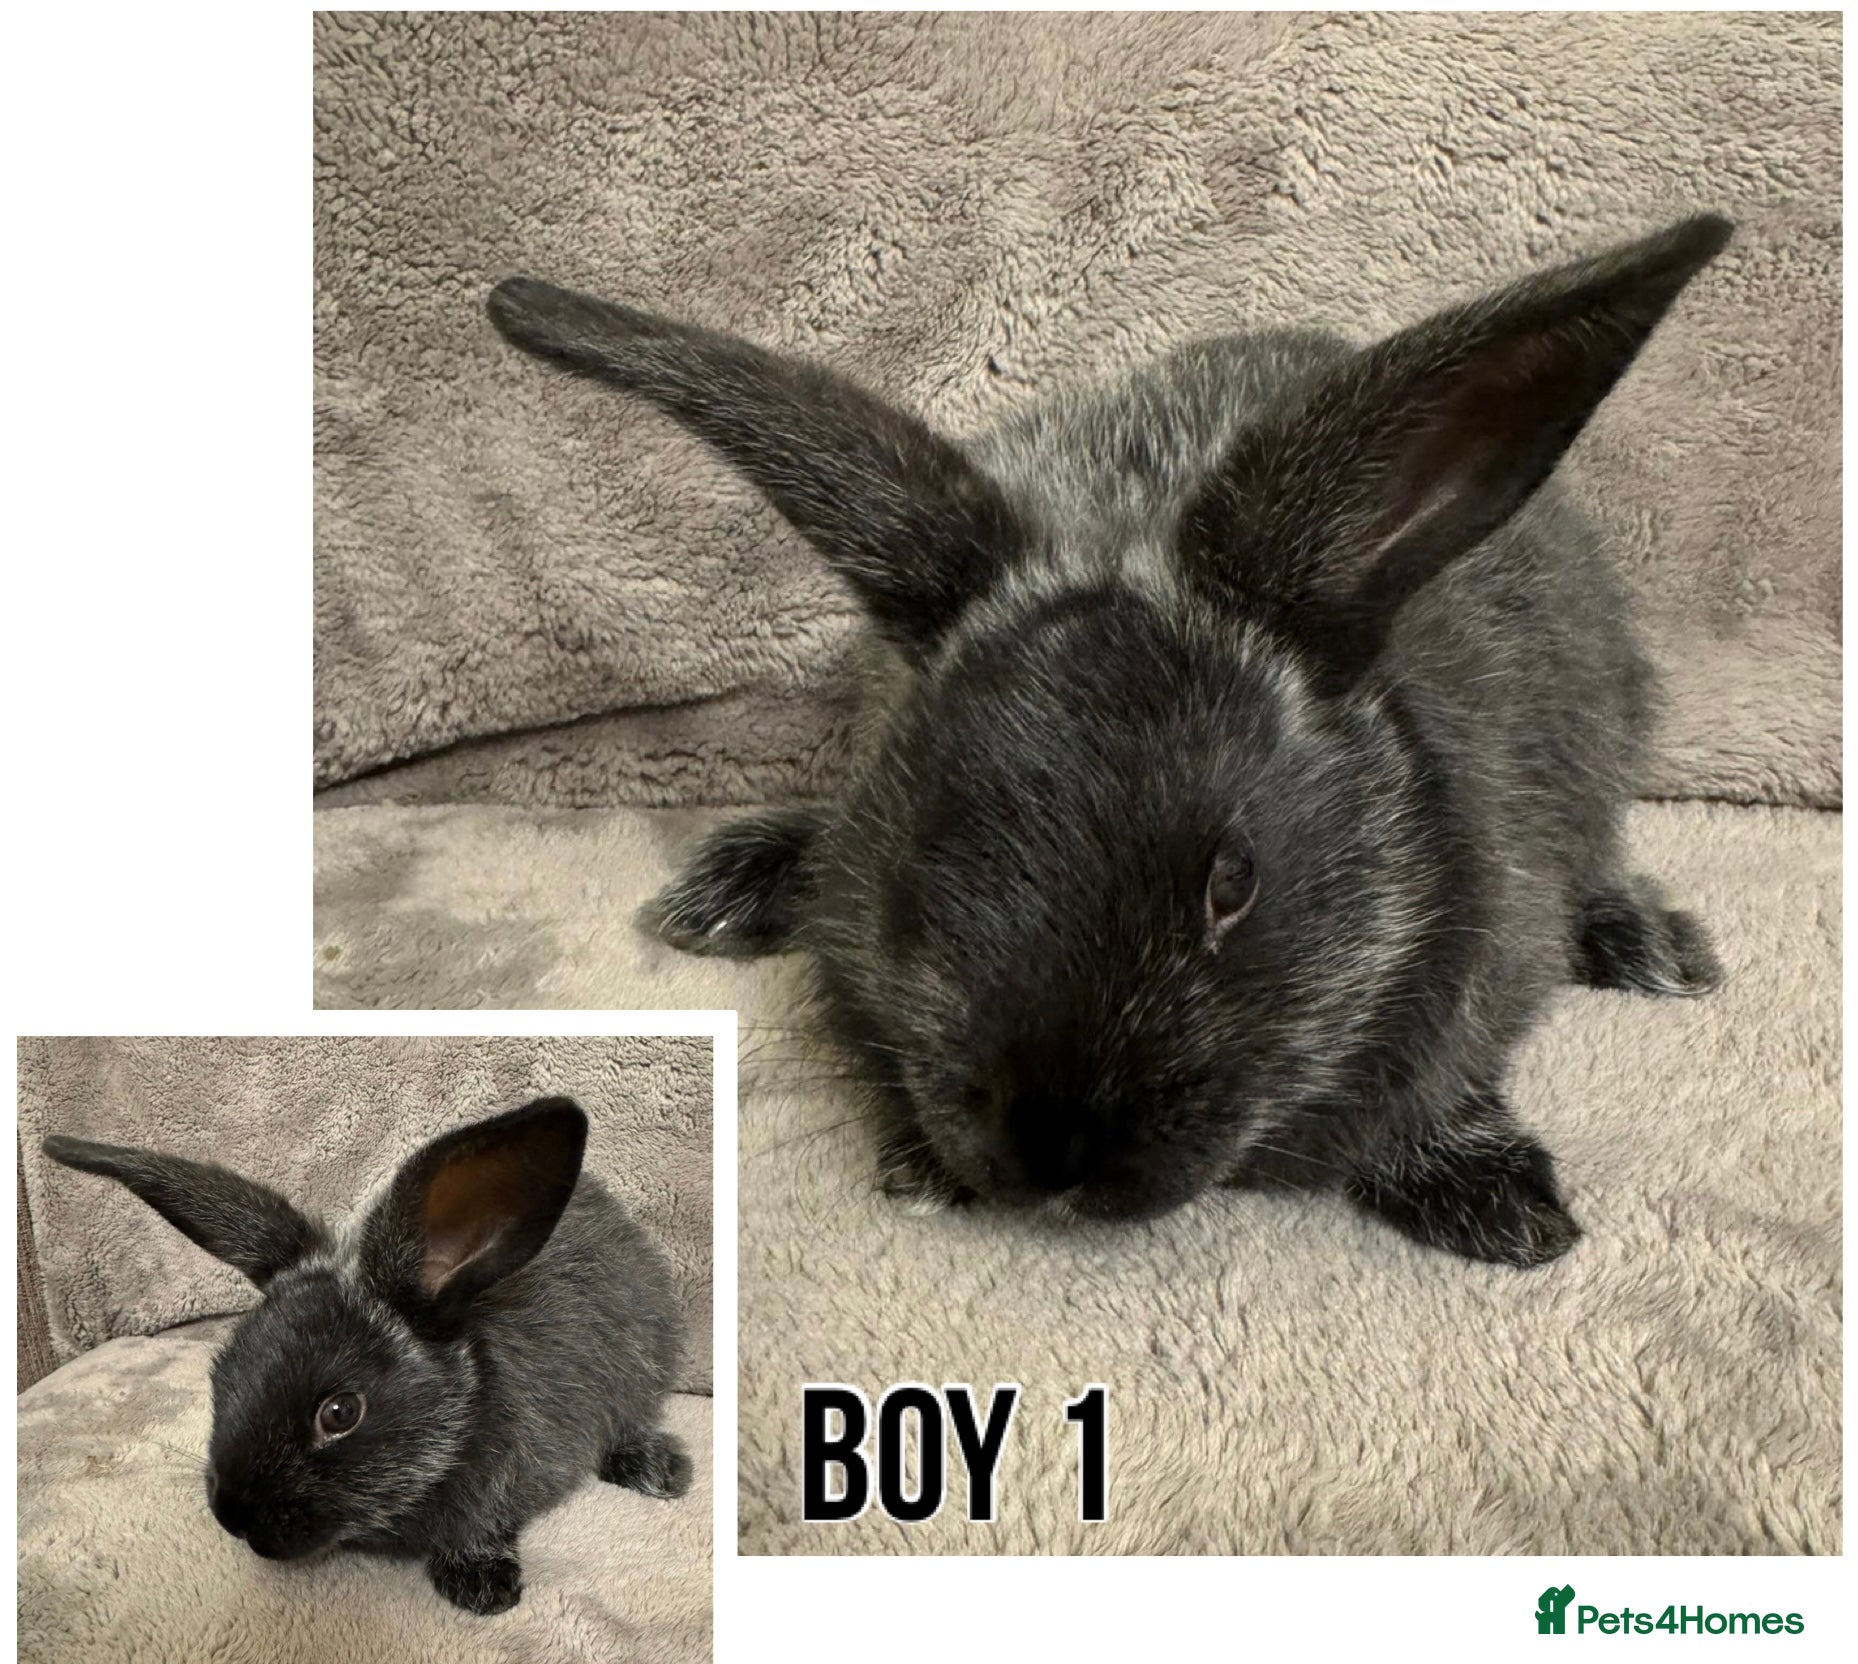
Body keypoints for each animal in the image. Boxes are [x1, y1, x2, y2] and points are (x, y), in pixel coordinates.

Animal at [486, 215, 1730, 1269]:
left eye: (1232, 883)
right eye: (922, 853)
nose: (1054, 1160)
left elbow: (1452, 1081)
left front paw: (1507, 1206)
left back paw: (1652, 946)